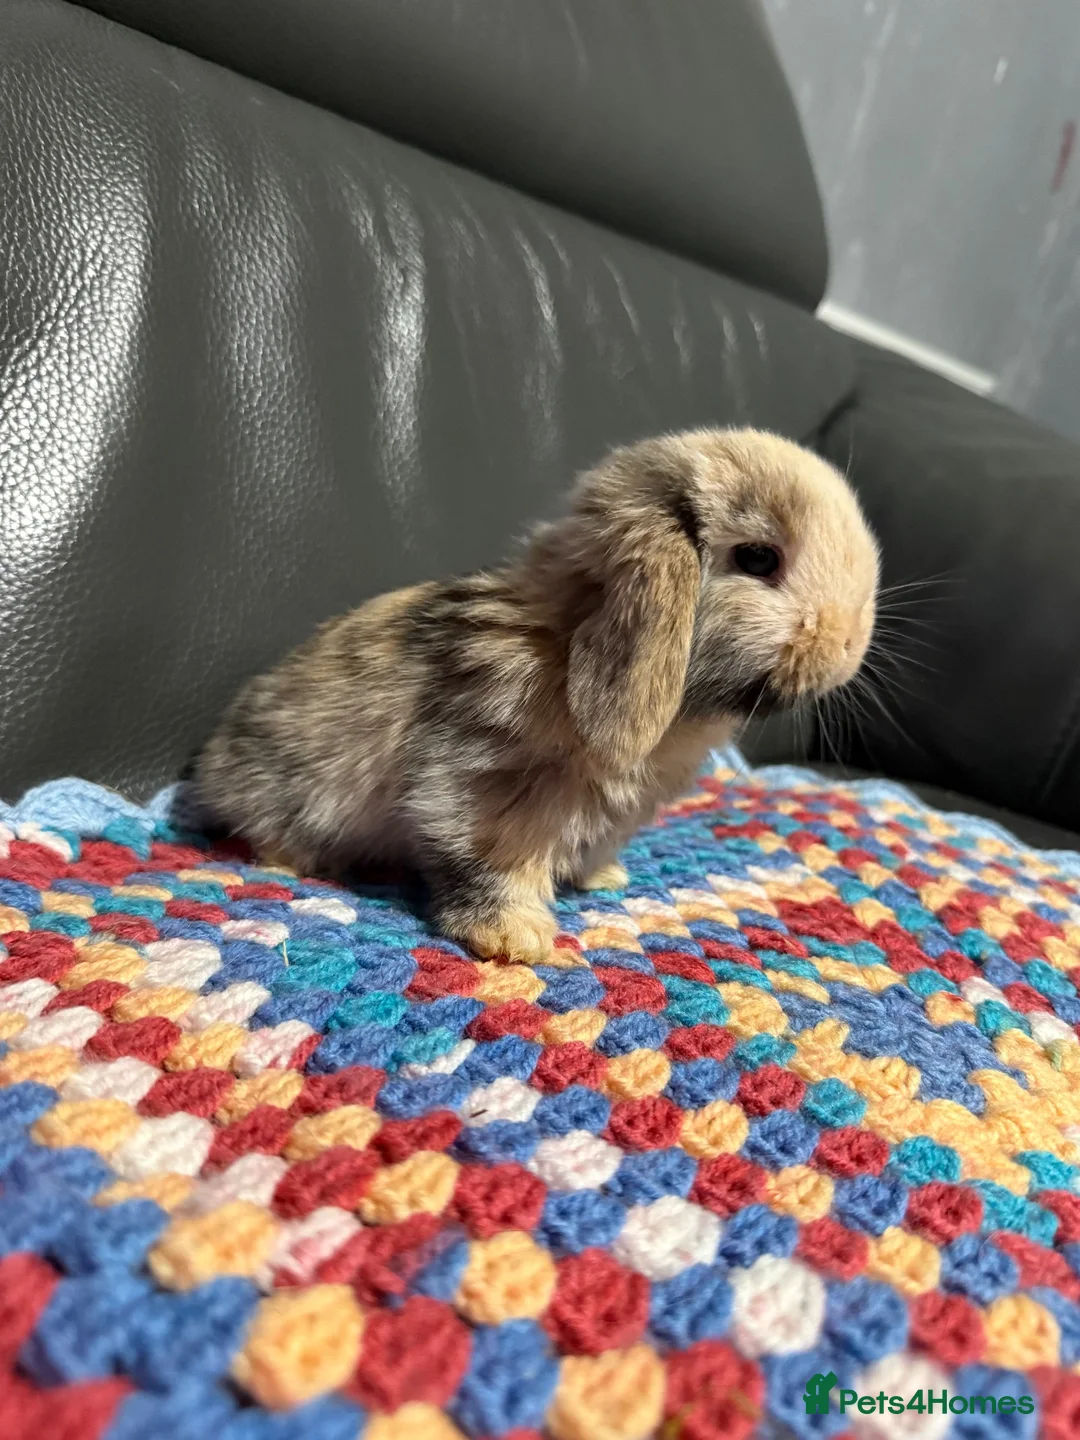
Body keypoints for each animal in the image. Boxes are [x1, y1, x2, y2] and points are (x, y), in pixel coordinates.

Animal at [194, 428, 878, 966]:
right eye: (759, 558)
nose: (848, 644)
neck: (564, 644)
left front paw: (603, 876)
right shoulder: (482, 784)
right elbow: (488, 863)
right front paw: (516, 940)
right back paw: (295, 860)